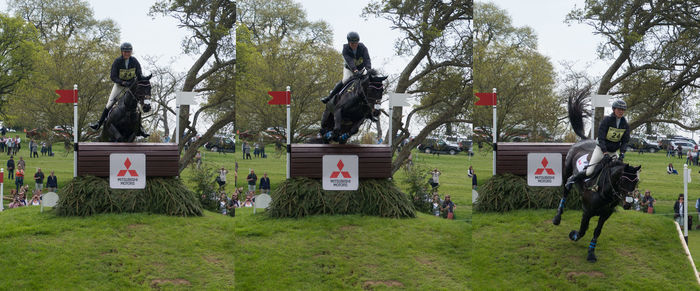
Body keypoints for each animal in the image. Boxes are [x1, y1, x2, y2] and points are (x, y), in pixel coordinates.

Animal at [552, 92, 640, 264]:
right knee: (566, 189)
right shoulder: (587, 211)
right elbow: (582, 230)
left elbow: (596, 232)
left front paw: (591, 253)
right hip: (567, 172)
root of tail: (584, 140)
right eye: (623, 181)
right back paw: (557, 217)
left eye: (636, 183)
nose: (628, 204)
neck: (606, 191)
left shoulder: (605, 215)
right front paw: (573, 235)